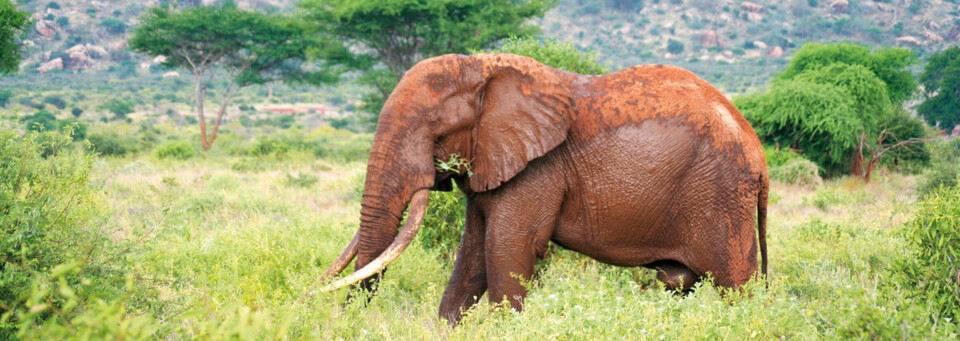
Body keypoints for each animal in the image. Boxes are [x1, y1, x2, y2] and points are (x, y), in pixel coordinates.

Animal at [318, 52, 768, 324]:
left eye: (435, 131)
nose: (345, 320)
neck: (482, 70)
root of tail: (758, 151)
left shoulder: (538, 170)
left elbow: (507, 248)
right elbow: (473, 253)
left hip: (722, 194)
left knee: (736, 287)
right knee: (681, 284)